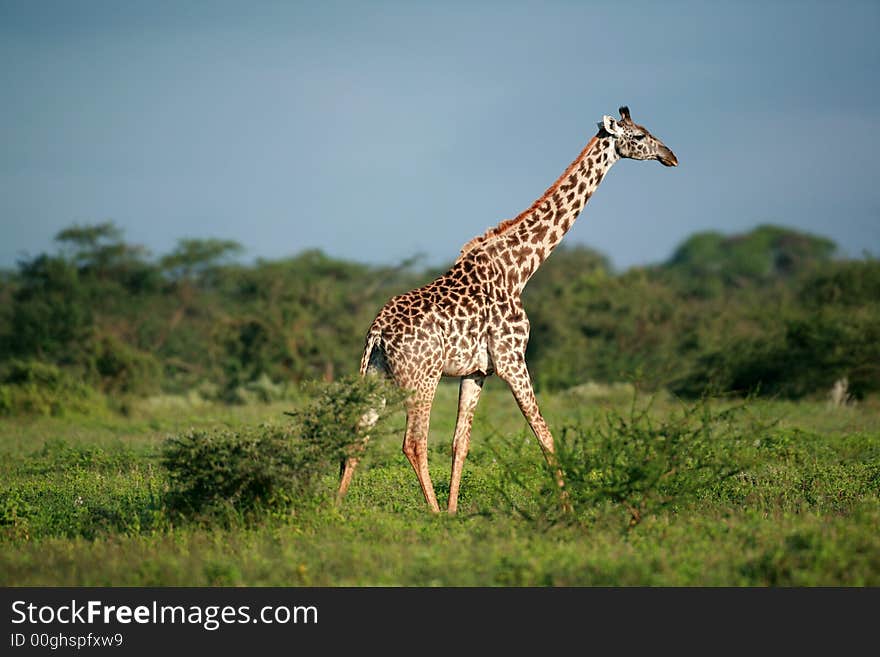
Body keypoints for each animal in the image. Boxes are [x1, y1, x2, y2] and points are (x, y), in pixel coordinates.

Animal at [340, 105, 676, 512]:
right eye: (640, 136)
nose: (670, 156)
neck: (519, 269)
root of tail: (378, 331)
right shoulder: (512, 359)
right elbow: (544, 434)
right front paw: (569, 508)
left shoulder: (477, 371)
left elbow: (460, 443)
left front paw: (454, 513)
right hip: (422, 376)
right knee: (413, 442)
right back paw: (430, 514)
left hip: (378, 375)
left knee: (358, 434)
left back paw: (334, 508)